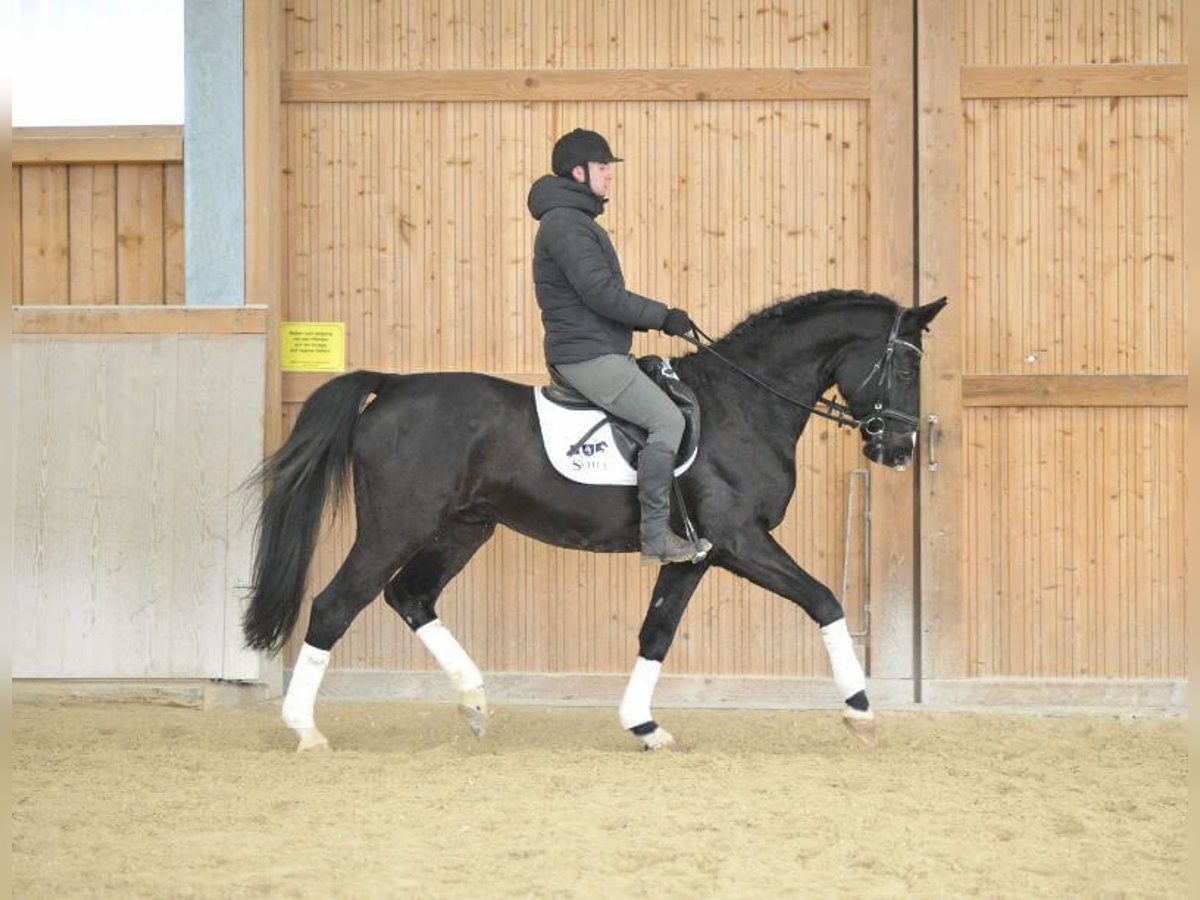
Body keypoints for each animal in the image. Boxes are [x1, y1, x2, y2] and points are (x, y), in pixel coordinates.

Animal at [246, 290, 945, 753]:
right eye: (908, 366)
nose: (899, 451)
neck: (743, 404)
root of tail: (391, 385)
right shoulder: (743, 540)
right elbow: (825, 601)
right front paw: (859, 708)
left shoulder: (698, 554)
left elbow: (655, 633)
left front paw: (644, 723)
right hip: (396, 527)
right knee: (336, 606)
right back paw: (306, 729)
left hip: (463, 529)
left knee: (410, 597)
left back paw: (475, 702)